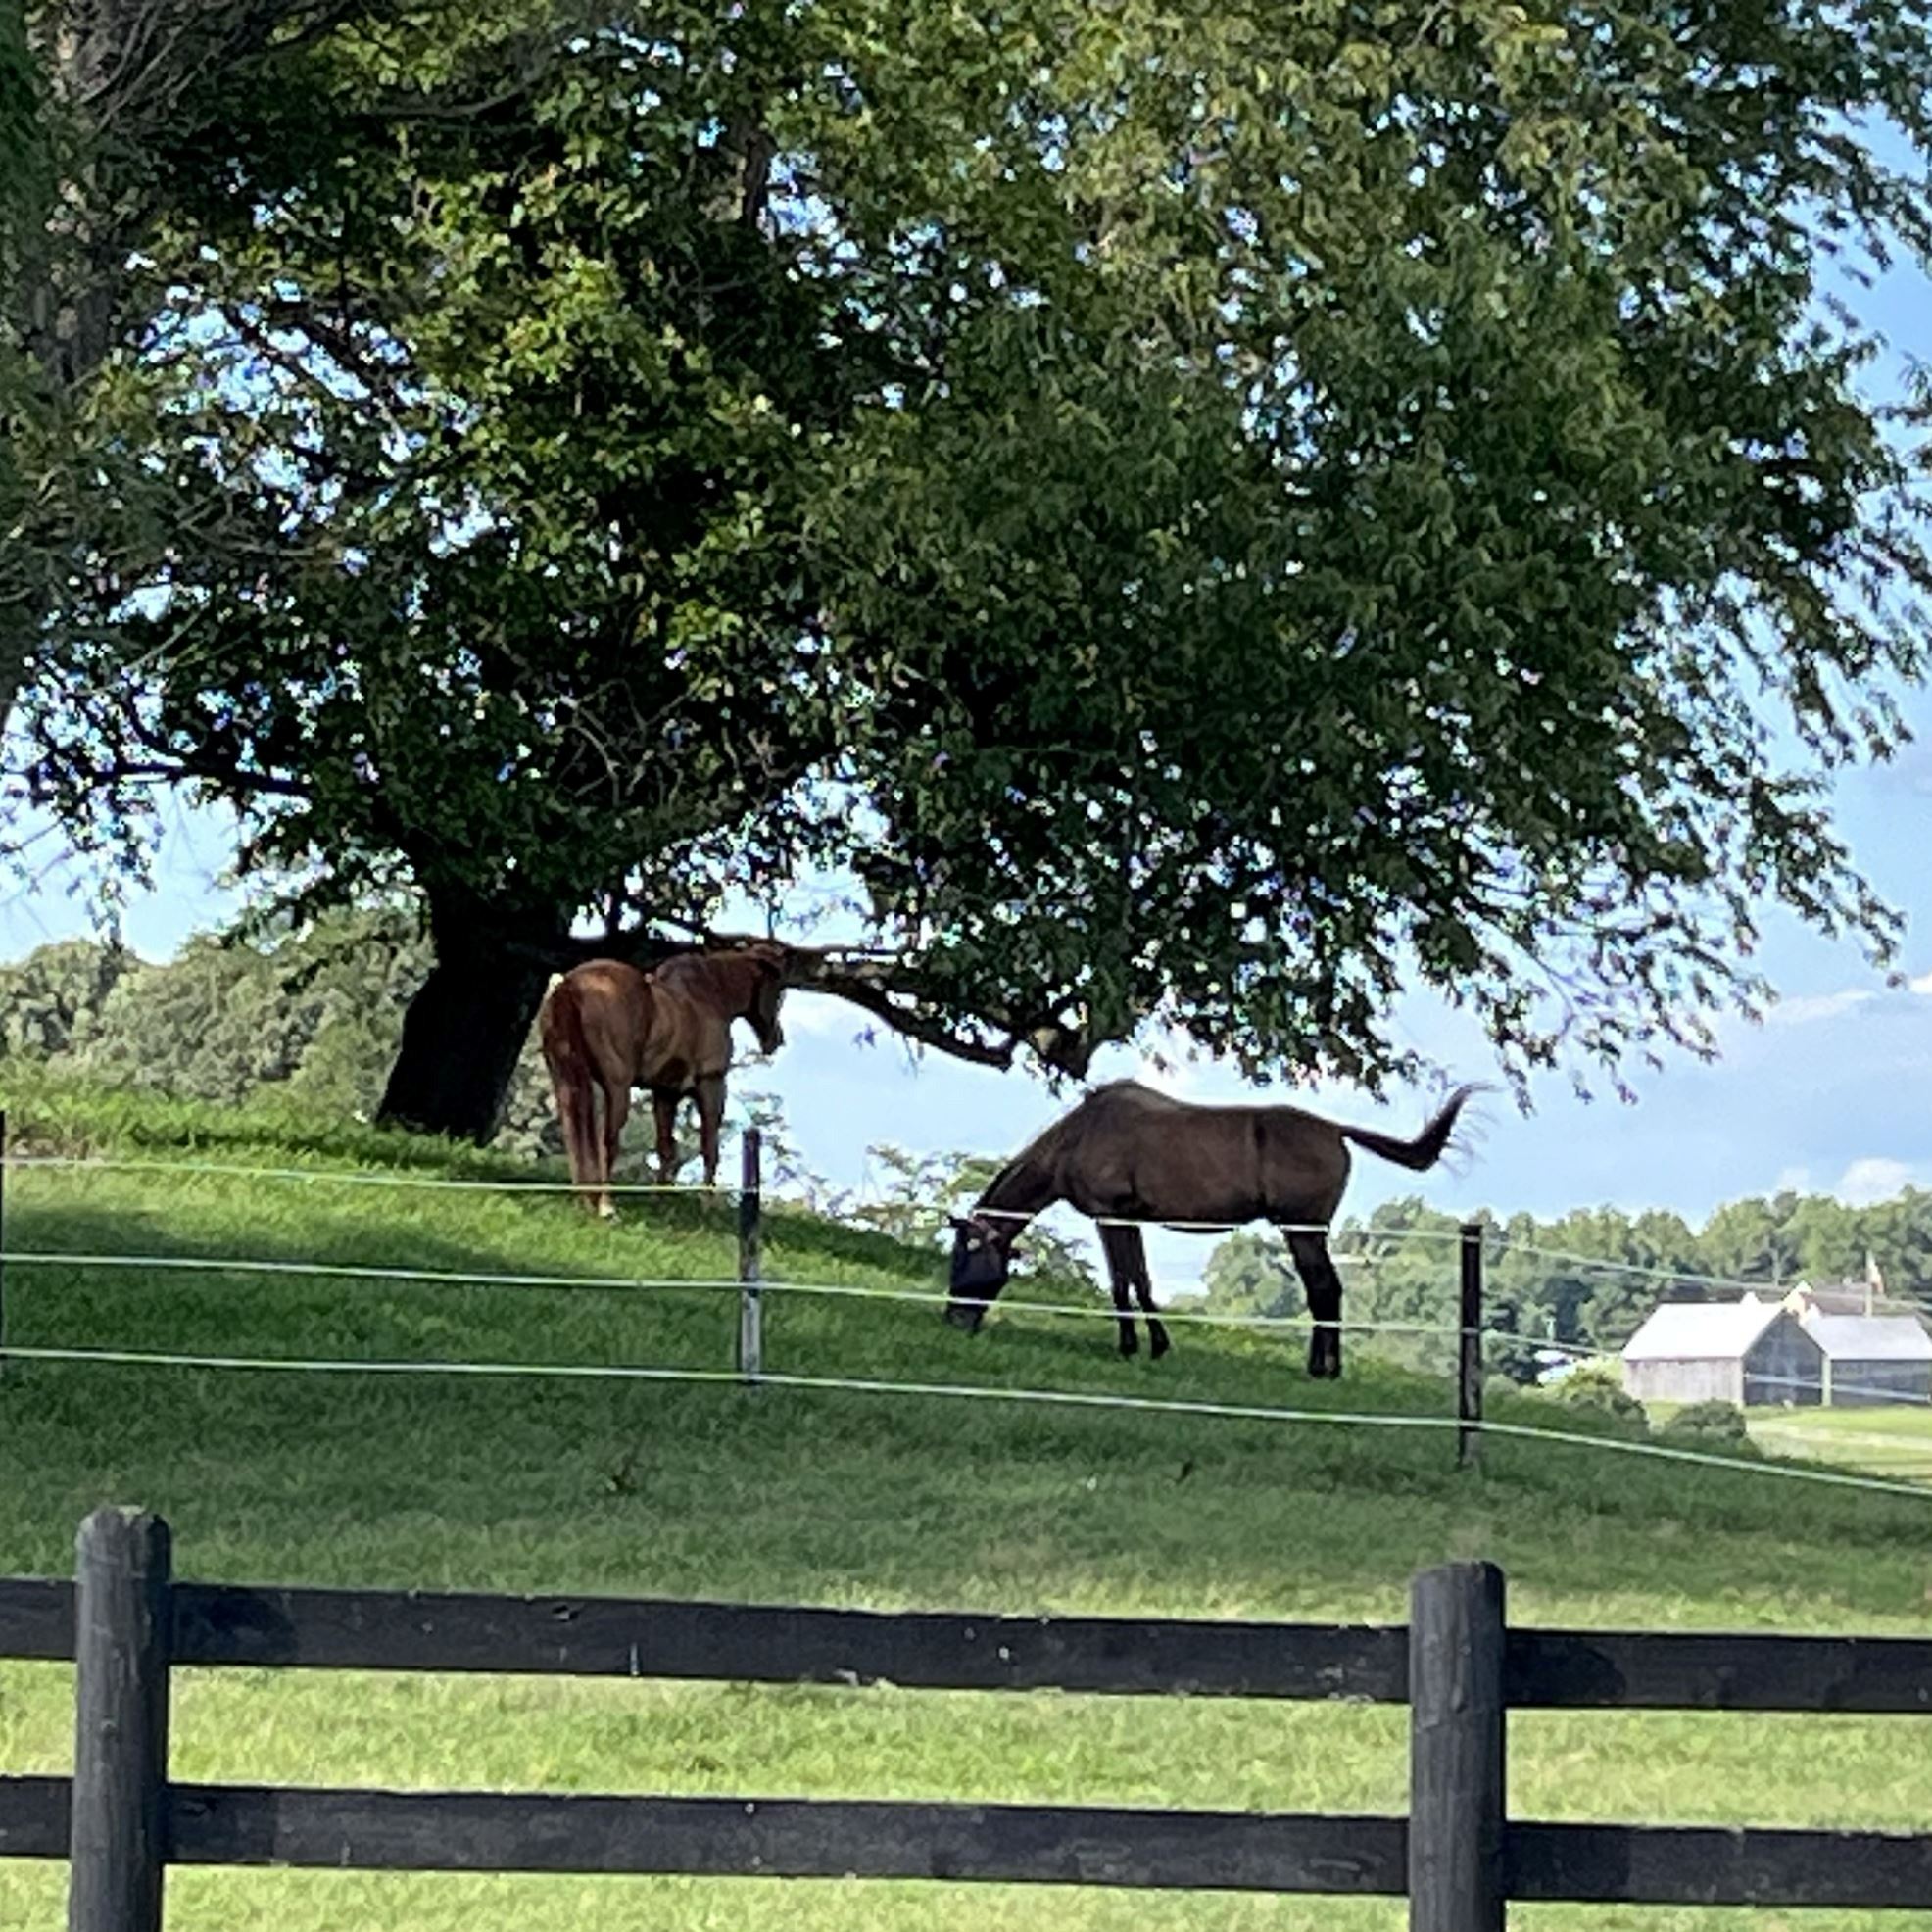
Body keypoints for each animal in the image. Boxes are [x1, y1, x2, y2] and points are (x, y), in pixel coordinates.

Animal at [538, 943, 786, 1214]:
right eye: (778, 990)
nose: (775, 1041)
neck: (709, 997)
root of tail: (570, 984)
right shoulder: (712, 1086)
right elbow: (709, 1147)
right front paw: (707, 1206)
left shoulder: (666, 1093)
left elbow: (666, 1148)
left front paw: (659, 1200)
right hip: (616, 1087)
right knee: (606, 1141)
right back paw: (606, 1205)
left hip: (565, 1079)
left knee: (574, 1133)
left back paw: (585, 1200)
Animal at [944, 1078, 1477, 1378]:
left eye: (966, 1258)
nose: (954, 1320)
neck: (1082, 1134)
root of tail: (1334, 1130)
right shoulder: (1127, 1219)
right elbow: (1138, 1280)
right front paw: (1154, 1345)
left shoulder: (1112, 1215)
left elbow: (1124, 1283)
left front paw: (1135, 1346)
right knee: (1324, 1290)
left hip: (1303, 1230)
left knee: (1325, 1289)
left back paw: (1324, 1370)